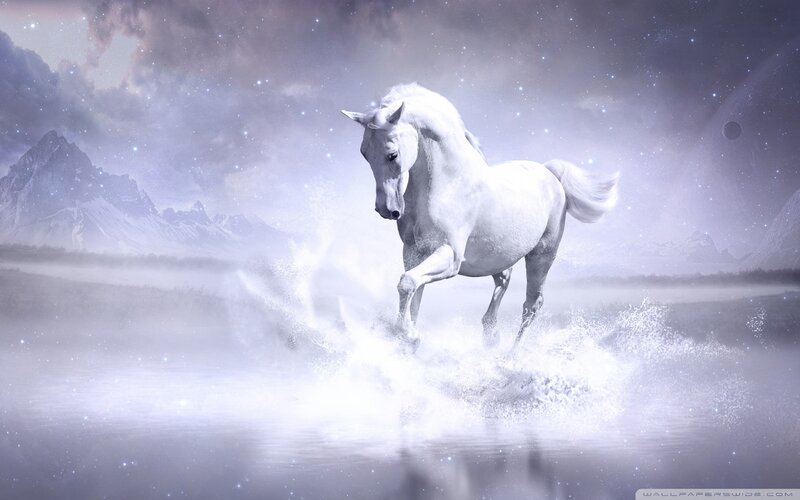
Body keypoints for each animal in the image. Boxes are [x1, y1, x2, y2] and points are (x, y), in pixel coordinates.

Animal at [342, 83, 619, 350]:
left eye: (392, 154)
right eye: (364, 153)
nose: (386, 209)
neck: (448, 184)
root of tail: (550, 173)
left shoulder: (450, 256)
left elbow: (407, 283)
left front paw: (409, 336)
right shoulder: (413, 252)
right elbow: (413, 293)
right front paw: (407, 339)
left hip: (541, 255)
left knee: (531, 305)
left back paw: (510, 357)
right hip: (497, 255)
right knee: (504, 280)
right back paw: (490, 335)